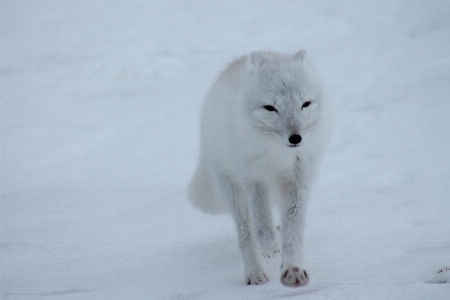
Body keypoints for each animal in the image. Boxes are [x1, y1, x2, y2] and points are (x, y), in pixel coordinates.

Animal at [188, 50, 332, 288]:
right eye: (270, 108)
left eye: (305, 104)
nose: (296, 138)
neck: (278, 155)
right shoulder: (254, 178)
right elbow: (263, 231)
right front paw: (274, 243)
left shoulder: (297, 179)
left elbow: (294, 227)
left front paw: (293, 270)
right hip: (232, 188)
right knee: (247, 231)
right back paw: (255, 273)